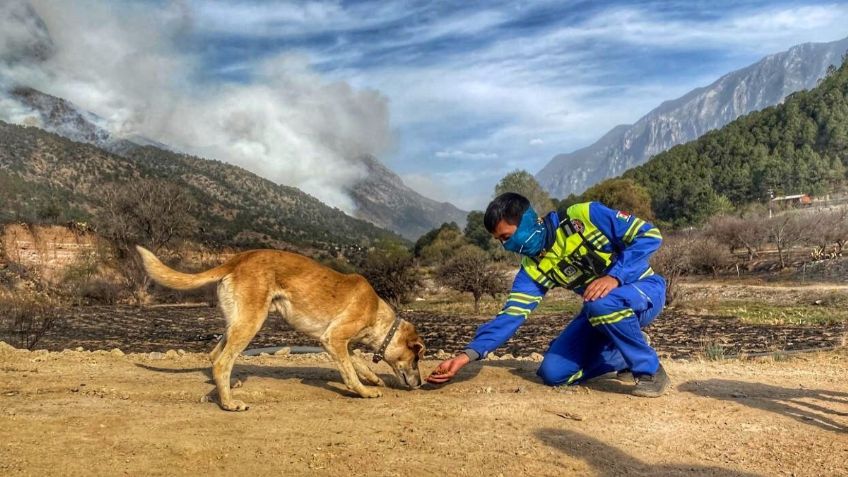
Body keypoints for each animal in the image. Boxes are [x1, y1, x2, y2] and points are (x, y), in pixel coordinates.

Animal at [136, 245, 424, 410]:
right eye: (416, 359)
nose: (421, 384)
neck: (379, 316)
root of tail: (237, 259)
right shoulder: (333, 339)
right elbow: (350, 374)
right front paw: (365, 392)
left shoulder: (341, 343)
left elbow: (358, 363)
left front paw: (373, 379)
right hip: (251, 322)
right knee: (221, 361)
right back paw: (229, 403)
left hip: (236, 322)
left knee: (214, 354)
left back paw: (225, 390)